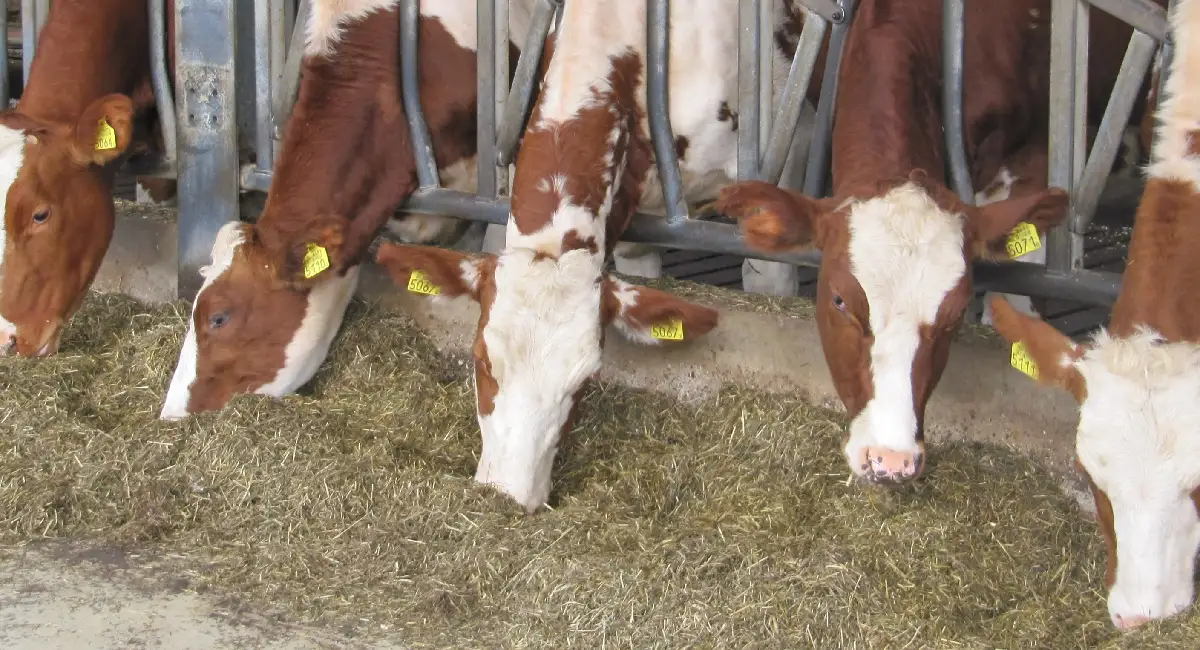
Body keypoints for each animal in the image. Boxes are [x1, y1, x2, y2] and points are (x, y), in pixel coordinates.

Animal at [368, 0, 833, 513]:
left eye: (584, 382)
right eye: (481, 361)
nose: (508, 496)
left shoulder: (788, 153)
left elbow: (770, 280)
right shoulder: (640, 216)